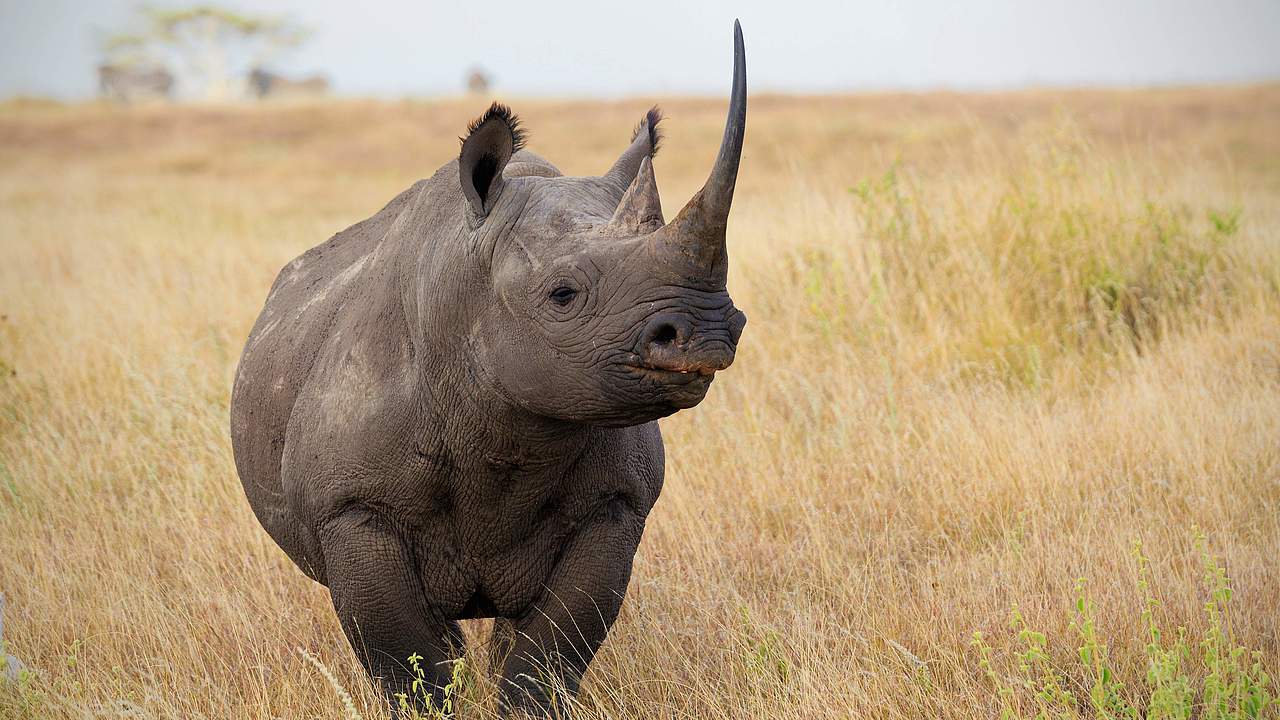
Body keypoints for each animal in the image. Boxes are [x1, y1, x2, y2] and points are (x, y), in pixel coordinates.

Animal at [231, 20, 747, 712]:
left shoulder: (615, 502)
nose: (710, 331)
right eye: (562, 296)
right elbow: (408, 658)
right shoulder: (352, 507)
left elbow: (549, 652)